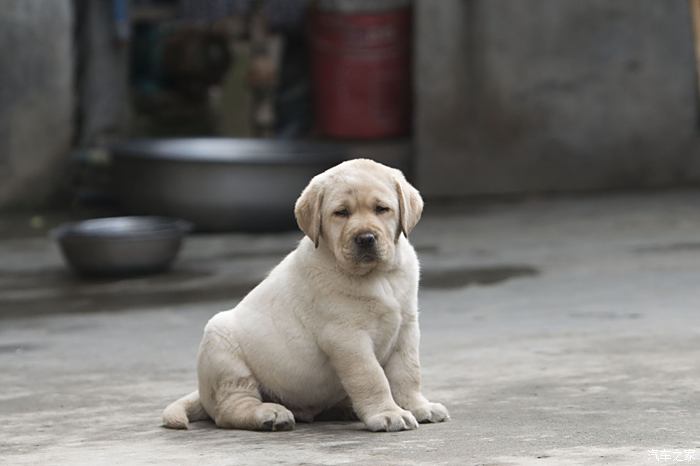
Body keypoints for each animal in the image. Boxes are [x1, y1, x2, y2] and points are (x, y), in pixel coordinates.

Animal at [163, 158, 448, 432]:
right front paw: (387, 413)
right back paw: (270, 414)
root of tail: (202, 393)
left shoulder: (407, 327)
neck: (379, 277)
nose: (365, 238)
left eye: (381, 209)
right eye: (341, 213)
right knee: (230, 408)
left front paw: (418, 406)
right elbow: (371, 376)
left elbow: (408, 372)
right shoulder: (347, 337)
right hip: (223, 351)